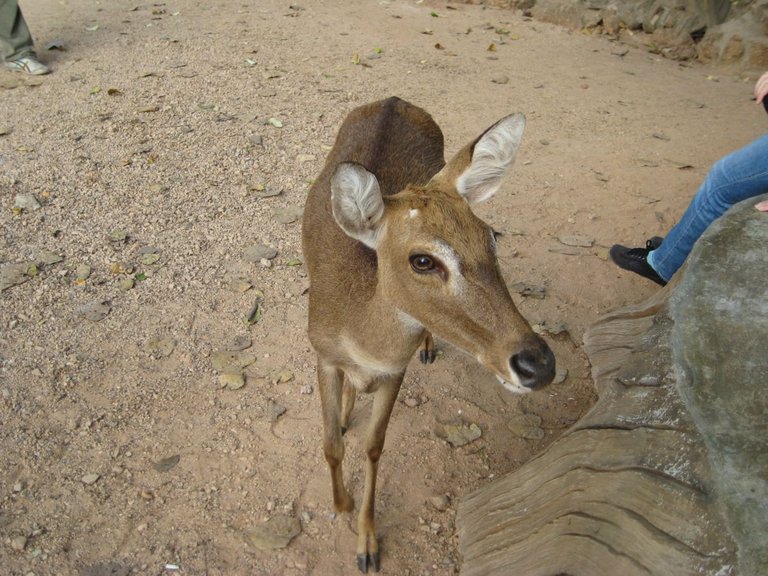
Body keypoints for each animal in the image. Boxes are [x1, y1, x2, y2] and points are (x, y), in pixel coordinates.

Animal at [302, 98, 560, 572]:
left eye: (492, 236)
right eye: (423, 260)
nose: (538, 363)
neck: (359, 334)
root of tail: (395, 100)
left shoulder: (394, 371)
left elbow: (374, 447)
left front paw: (367, 545)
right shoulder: (322, 353)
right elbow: (331, 443)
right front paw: (341, 504)